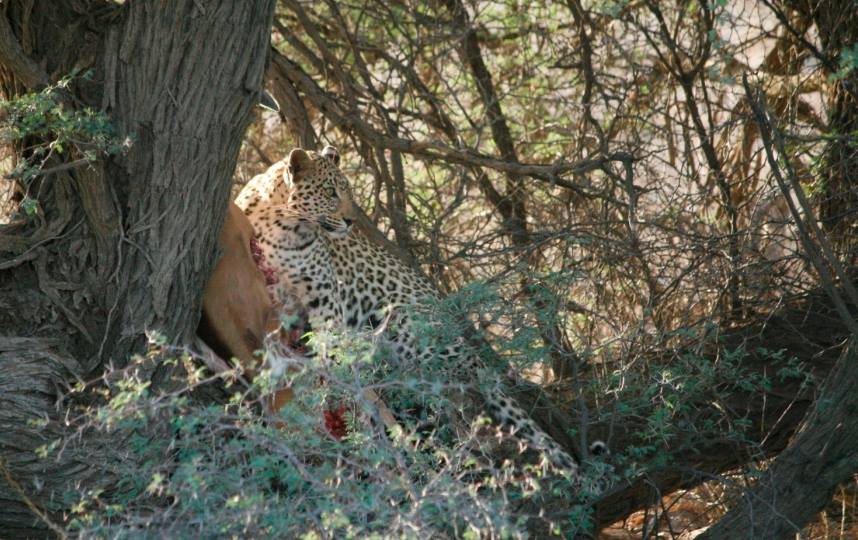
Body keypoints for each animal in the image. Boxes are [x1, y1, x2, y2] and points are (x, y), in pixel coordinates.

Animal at [236, 146, 605, 482]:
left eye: (348, 192)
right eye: (330, 192)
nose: (351, 221)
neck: (284, 228)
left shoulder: (327, 306)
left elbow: (333, 359)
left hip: (403, 325)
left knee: (443, 392)